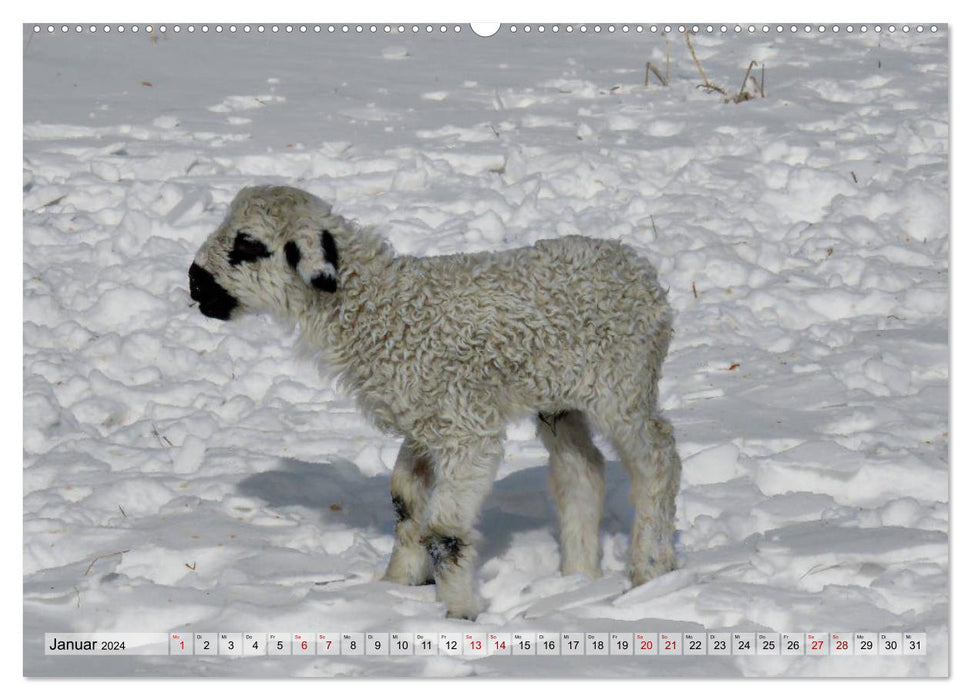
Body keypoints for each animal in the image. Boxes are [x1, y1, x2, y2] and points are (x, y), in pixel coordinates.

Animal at [190, 186, 684, 616]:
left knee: (658, 459)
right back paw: (577, 577)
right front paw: (398, 584)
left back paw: (650, 567)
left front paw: (460, 612)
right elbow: (405, 501)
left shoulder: (466, 427)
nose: (195, 283)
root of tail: (640, 268)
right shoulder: (424, 424)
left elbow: (445, 530)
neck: (388, 314)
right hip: (560, 398)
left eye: (248, 244)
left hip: (622, 383)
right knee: (581, 469)